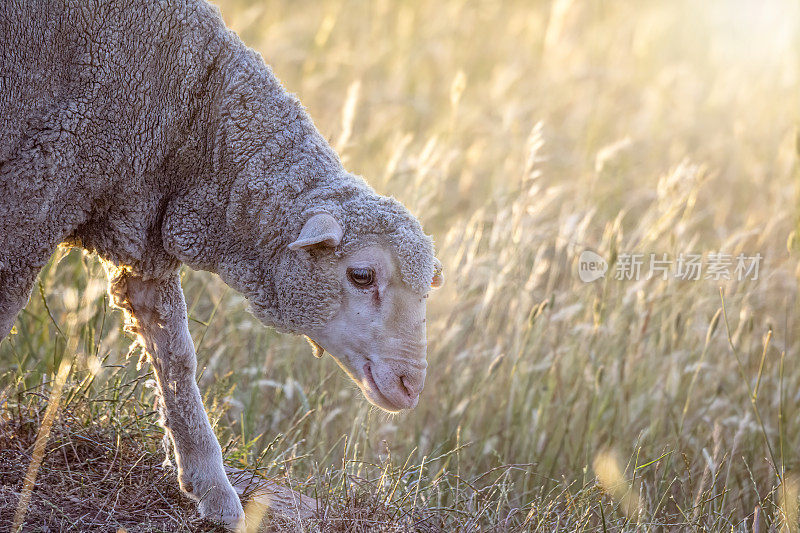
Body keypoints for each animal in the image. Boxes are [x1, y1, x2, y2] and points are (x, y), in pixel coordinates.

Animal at [0, 0, 444, 524]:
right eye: (361, 275)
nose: (411, 386)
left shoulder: (144, 237)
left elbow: (175, 357)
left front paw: (213, 489)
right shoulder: (37, 193)